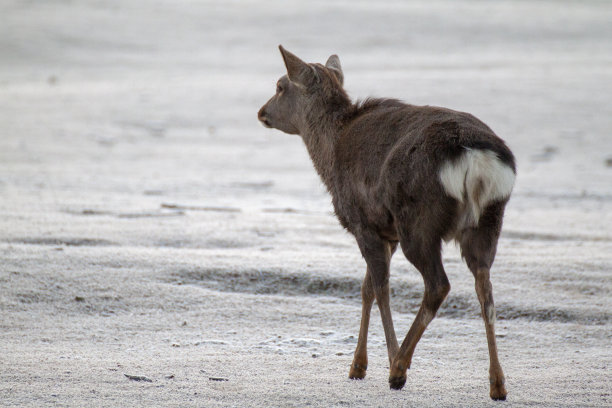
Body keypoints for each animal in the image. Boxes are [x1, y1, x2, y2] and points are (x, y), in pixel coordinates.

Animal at [256, 46, 512, 400]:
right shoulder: (385, 232)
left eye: (280, 85)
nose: (262, 112)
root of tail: (475, 158)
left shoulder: (363, 222)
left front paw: (384, 362)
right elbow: (366, 289)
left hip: (419, 220)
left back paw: (399, 366)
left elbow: (380, 289)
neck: (329, 153)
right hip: (488, 221)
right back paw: (497, 384)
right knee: (485, 288)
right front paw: (357, 366)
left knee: (438, 284)